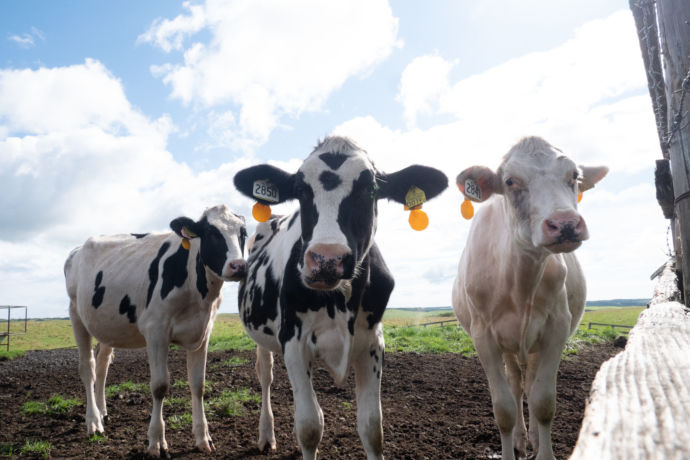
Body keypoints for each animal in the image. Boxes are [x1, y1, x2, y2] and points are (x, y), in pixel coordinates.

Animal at [64, 205, 247, 456]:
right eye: (211, 233)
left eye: (243, 233)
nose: (239, 266)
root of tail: (78, 249)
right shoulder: (156, 331)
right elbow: (160, 386)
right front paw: (156, 441)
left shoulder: (203, 332)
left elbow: (198, 385)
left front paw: (203, 438)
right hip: (76, 315)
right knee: (88, 368)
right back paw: (93, 422)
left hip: (107, 325)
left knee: (102, 367)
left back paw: (102, 412)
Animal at [231, 137, 446, 460]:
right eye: (300, 190)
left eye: (371, 189)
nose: (327, 259)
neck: (340, 301)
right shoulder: (293, 342)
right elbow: (309, 426)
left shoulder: (373, 343)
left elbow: (372, 427)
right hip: (262, 337)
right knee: (265, 376)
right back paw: (266, 435)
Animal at [452, 137, 608, 460]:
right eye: (510, 181)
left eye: (574, 175)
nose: (565, 223)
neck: (519, 279)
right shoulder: (483, 336)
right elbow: (504, 409)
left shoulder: (557, 328)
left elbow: (543, 401)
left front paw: (544, 451)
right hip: (508, 347)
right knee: (515, 385)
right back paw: (521, 438)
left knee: (531, 384)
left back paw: (534, 438)